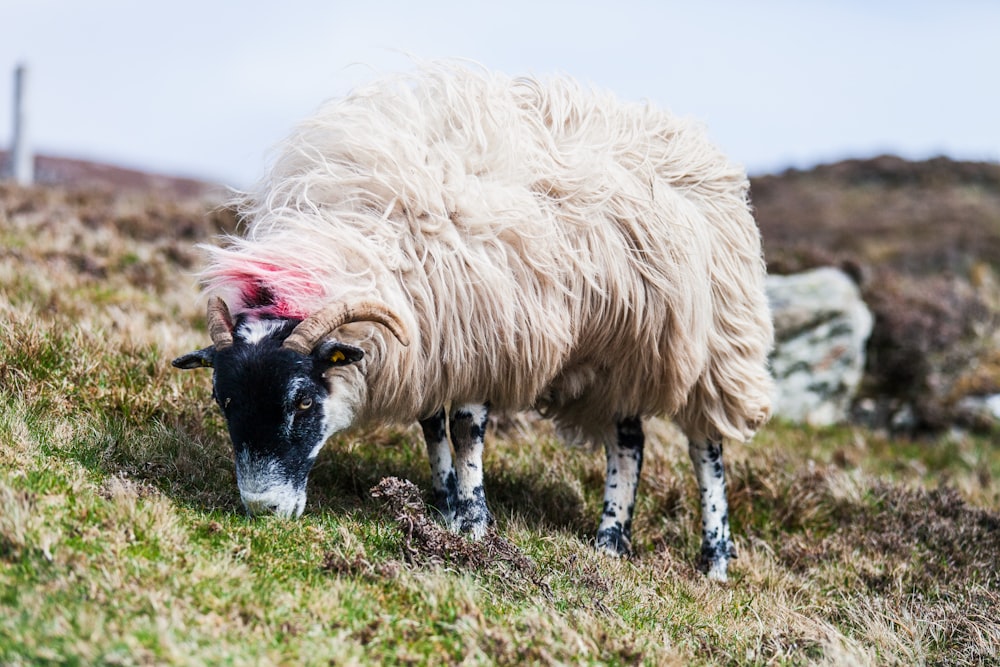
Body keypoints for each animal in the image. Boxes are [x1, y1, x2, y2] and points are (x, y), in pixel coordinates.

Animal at [176, 65, 772, 580]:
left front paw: (474, 524)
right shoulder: (433, 343)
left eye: (302, 401)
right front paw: (442, 504)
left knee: (706, 448)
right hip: (624, 351)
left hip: (716, 342)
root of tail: (690, 140)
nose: (263, 510)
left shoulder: (481, 334)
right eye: (223, 400)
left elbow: (466, 430)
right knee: (630, 442)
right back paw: (609, 541)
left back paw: (715, 560)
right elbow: (431, 425)